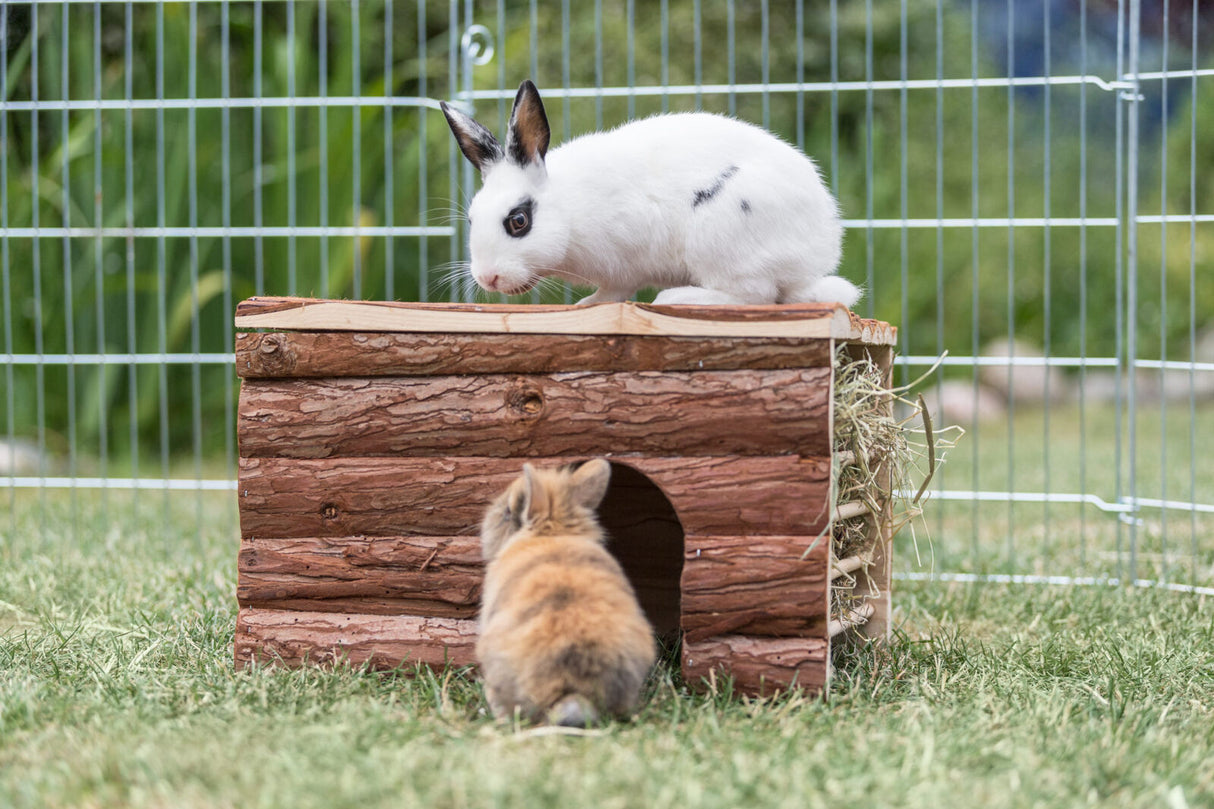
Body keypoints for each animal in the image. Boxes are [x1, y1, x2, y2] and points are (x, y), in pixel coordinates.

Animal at [440, 80, 860, 308]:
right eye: (471, 219)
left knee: (755, 295)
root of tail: (817, 255)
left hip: (722, 238)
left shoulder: (624, 264)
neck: (569, 212)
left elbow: (614, 292)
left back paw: (677, 298)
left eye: (518, 221)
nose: (488, 278)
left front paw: (587, 303)